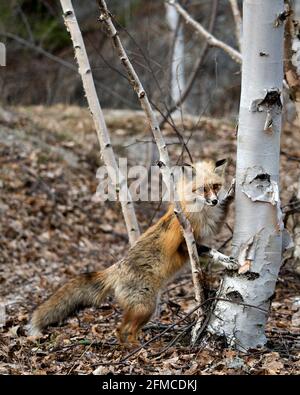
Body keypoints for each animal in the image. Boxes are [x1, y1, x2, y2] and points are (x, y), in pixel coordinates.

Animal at [29, 159, 238, 344]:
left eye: (216, 186)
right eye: (203, 189)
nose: (214, 200)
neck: (199, 211)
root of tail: (117, 268)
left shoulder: (210, 228)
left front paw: (231, 193)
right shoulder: (186, 243)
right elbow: (211, 250)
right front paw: (227, 260)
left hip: (145, 308)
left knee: (126, 331)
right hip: (146, 306)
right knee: (122, 330)